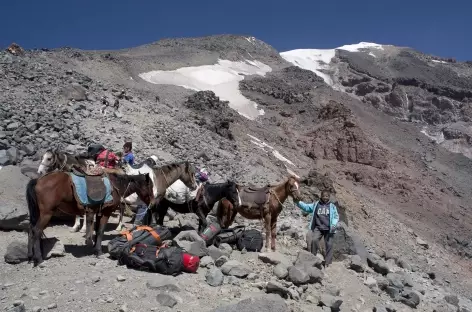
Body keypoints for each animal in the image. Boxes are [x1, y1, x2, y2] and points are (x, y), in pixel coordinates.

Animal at [25, 171, 155, 266]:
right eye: (150, 186)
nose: (153, 202)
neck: (116, 186)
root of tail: (38, 180)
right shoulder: (106, 212)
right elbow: (101, 231)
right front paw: (99, 252)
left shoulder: (98, 212)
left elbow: (97, 231)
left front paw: (94, 248)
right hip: (46, 214)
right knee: (36, 231)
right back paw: (39, 259)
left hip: (39, 214)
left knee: (31, 230)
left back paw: (31, 257)